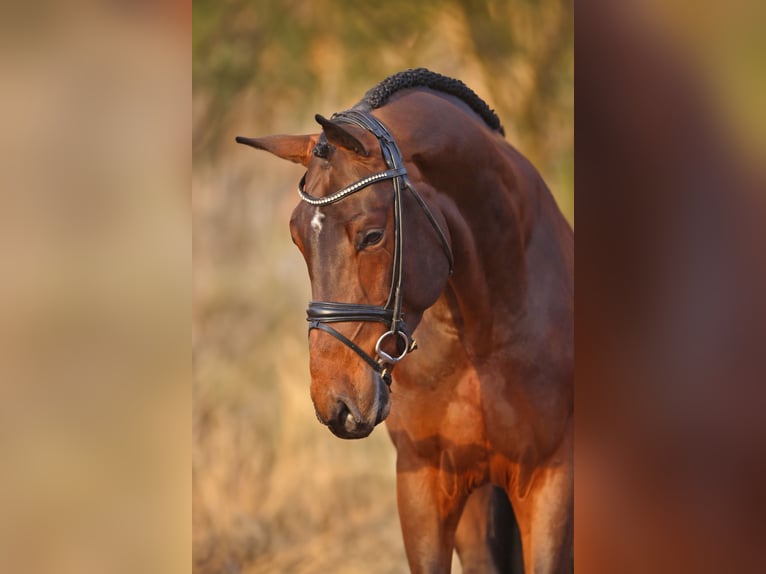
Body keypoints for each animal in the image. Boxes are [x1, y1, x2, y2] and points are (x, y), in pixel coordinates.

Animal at [236, 69, 573, 573]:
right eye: (297, 238)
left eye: (373, 235)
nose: (335, 402)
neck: (481, 336)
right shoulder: (424, 485)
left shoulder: (550, 483)